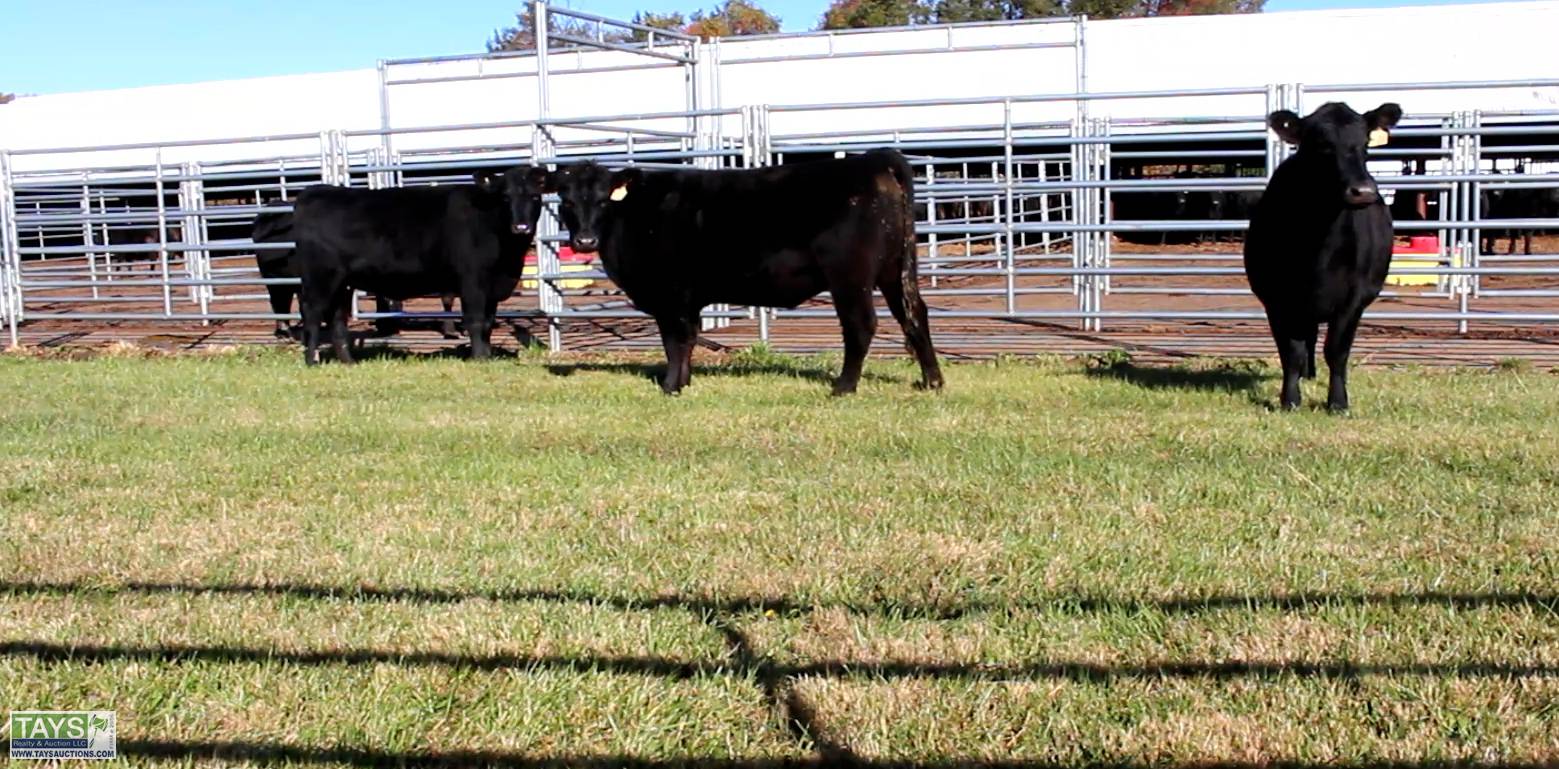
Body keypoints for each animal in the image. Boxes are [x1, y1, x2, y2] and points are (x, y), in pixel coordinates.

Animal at [291, 166, 548, 364]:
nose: (521, 227)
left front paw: (487, 355)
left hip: (343, 282)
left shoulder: (492, 286)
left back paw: (348, 362)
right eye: (505, 197)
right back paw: (312, 360)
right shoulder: (472, 281)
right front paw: (479, 358)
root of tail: (315, 191)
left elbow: (488, 323)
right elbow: (475, 321)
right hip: (320, 277)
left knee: (337, 317)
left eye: (535, 197)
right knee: (312, 312)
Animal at [547, 149, 944, 395]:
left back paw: (843, 387)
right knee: (914, 314)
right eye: (566, 200)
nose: (584, 240)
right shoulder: (687, 298)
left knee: (861, 324)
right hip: (895, 270)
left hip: (849, 275)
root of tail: (873, 159)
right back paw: (932, 382)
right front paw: (684, 382)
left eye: (603, 200)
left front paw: (671, 386)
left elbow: (675, 341)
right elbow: (689, 338)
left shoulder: (670, 294)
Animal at [1244, 101, 1403, 412]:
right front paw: (1290, 400)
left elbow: (1337, 352)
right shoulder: (1277, 299)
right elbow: (1290, 352)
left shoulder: (1353, 299)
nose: (1363, 191)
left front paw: (1338, 402)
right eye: (1322, 145)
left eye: (1366, 144)